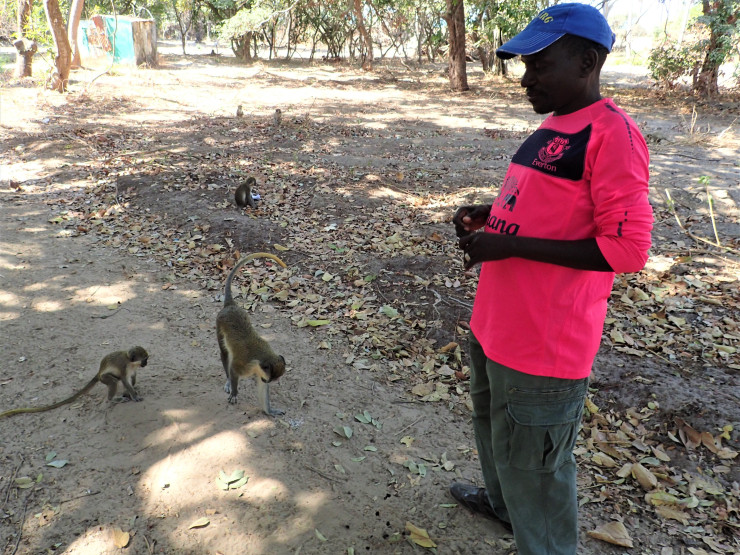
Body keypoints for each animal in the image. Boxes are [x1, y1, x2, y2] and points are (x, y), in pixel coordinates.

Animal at [0, 347, 149, 419]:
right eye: (145, 359)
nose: (146, 364)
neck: (130, 360)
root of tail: (99, 372)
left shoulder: (132, 368)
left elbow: (132, 378)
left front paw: (129, 392)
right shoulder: (124, 366)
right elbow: (125, 380)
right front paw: (133, 395)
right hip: (104, 377)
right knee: (113, 382)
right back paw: (112, 399)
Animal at [217, 253, 287, 416]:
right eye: (269, 380)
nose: (266, 381)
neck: (262, 357)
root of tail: (230, 306)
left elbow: (262, 389)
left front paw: (270, 411)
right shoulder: (246, 364)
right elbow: (233, 369)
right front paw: (234, 393)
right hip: (219, 323)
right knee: (225, 353)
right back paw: (229, 382)